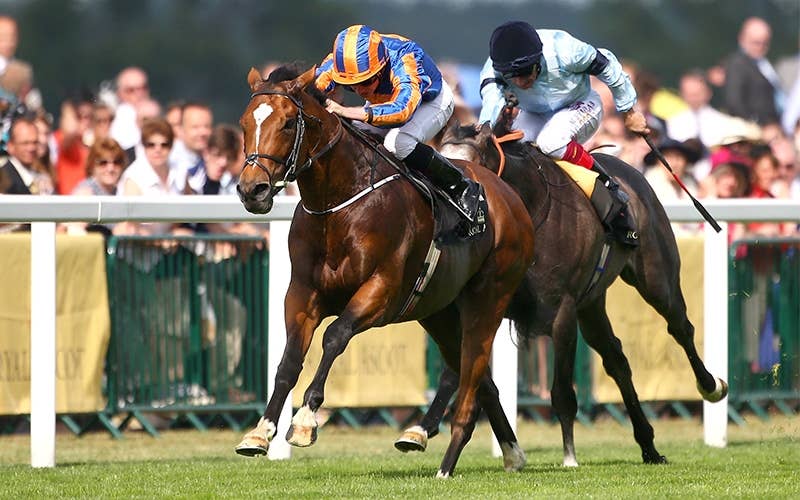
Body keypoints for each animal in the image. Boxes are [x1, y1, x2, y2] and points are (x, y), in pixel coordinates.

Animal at [233, 65, 535, 478]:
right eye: (245, 123)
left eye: (288, 122)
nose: (253, 190)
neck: (339, 206)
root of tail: (509, 196)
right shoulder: (302, 293)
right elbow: (289, 359)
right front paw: (259, 432)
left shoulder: (381, 290)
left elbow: (335, 337)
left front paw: (306, 421)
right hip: (439, 311)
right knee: (473, 375)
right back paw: (508, 451)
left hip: (487, 302)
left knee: (472, 374)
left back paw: (447, 464)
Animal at [394, 122, 728, 467]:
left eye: (462, 173)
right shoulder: (487, 304)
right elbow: (459, 370)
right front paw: (419, 430)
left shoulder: (561, 310)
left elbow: (562, 391)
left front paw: (569, 455)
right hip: (592, 305)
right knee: (616, 359)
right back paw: (648, 445)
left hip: (656, 277)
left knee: (680, 326)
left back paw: (710, 385)